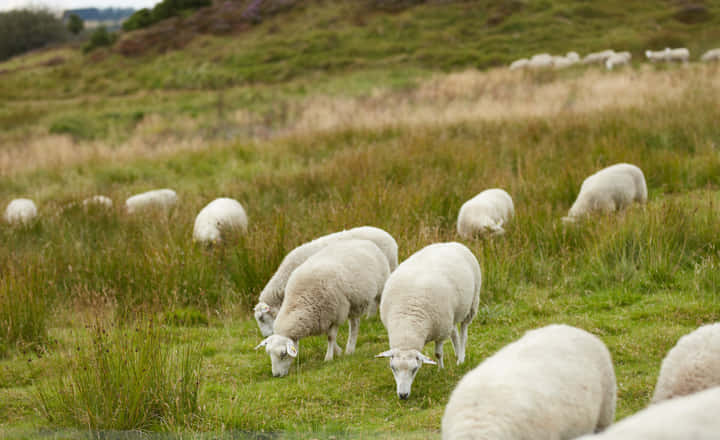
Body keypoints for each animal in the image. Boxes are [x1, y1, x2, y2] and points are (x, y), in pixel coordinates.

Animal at [253, 239, 388, 376]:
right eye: (269, 354)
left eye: (283, 354)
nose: (276, 375)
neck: (300, 300)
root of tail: (365, 241)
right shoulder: (322, 317)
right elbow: (327, 336)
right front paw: (338, 351)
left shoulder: (336, 313)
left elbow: (330, 337)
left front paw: (328, 358)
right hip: (354, 303)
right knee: (354, 324)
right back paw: (350, 349)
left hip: (381, 287)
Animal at [374, 242, 480, 400]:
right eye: (393, 368)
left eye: (414, 369)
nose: (403, 395)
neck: (408, 323)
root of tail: (452, 243)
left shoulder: (441, 331)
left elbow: (438, 354)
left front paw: (441, 370)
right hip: (452, 314)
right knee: (454, 333)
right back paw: (457, 354)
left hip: (471, 304)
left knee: (463, 333)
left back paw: (460, 358)